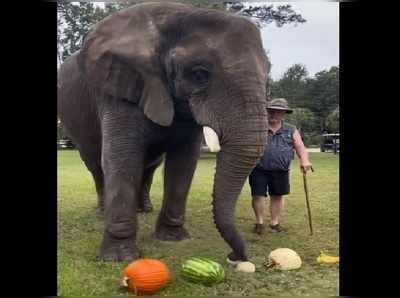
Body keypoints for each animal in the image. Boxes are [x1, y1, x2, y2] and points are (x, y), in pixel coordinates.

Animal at [57, 2, 270, 264]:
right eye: (200, 74)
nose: (235, 256)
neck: (179, 15)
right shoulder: (118, 87)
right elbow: (121, 158)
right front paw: (118, 257)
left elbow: (184, 162)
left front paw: (172, 238)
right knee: (96, 164)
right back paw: (102, 211)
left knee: (149, 167)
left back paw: (144, 209)